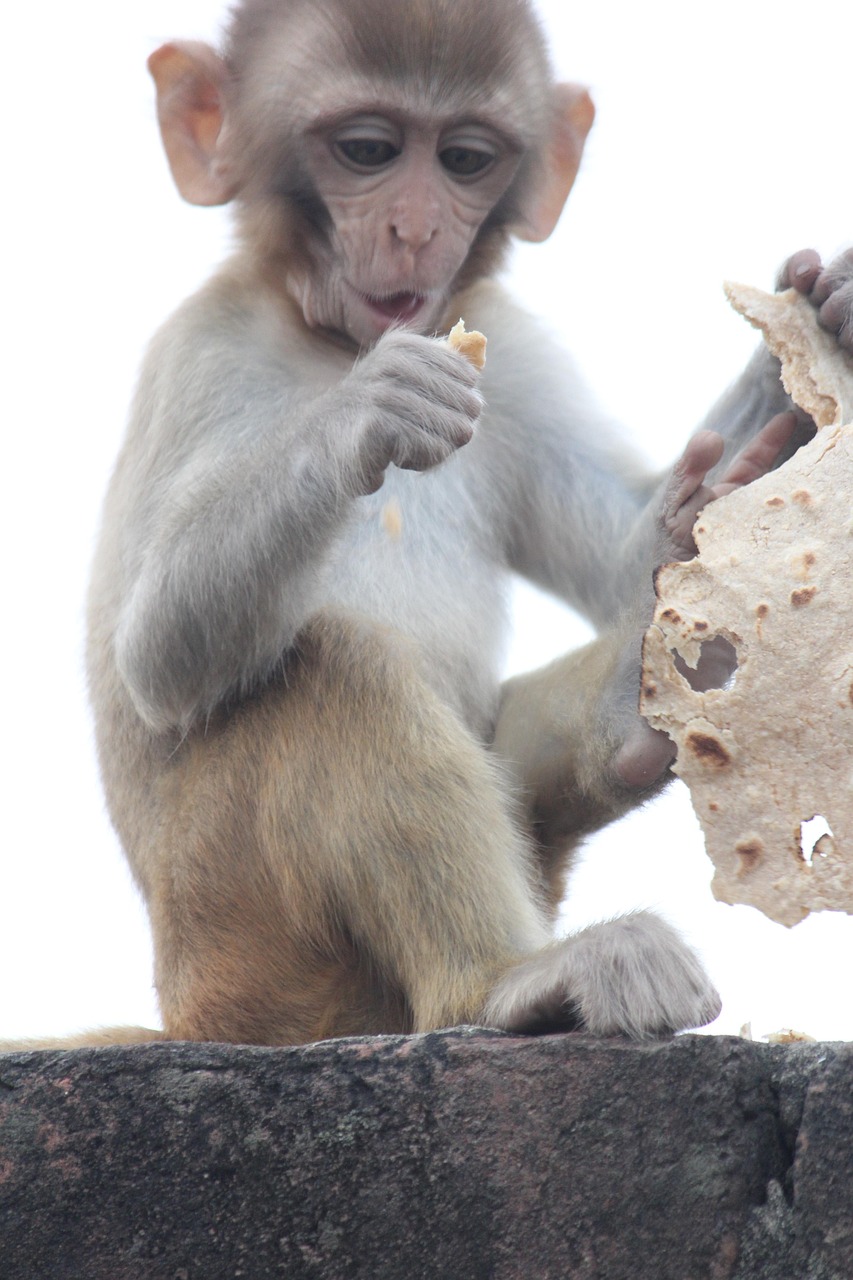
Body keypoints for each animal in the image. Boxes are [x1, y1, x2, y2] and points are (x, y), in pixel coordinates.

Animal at [9, 0, 853, 1050]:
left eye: (463, 160)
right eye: (367, 151)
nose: (413, 229)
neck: (331, 337)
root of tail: (192, 1019)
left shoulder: (506, 345)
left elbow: (616, 556)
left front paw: (808, 333)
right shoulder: (204, 352)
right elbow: (159, 658)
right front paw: (365, 412)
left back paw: (638, 709)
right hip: (235, 940)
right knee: (334, 663)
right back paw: (503, 980)